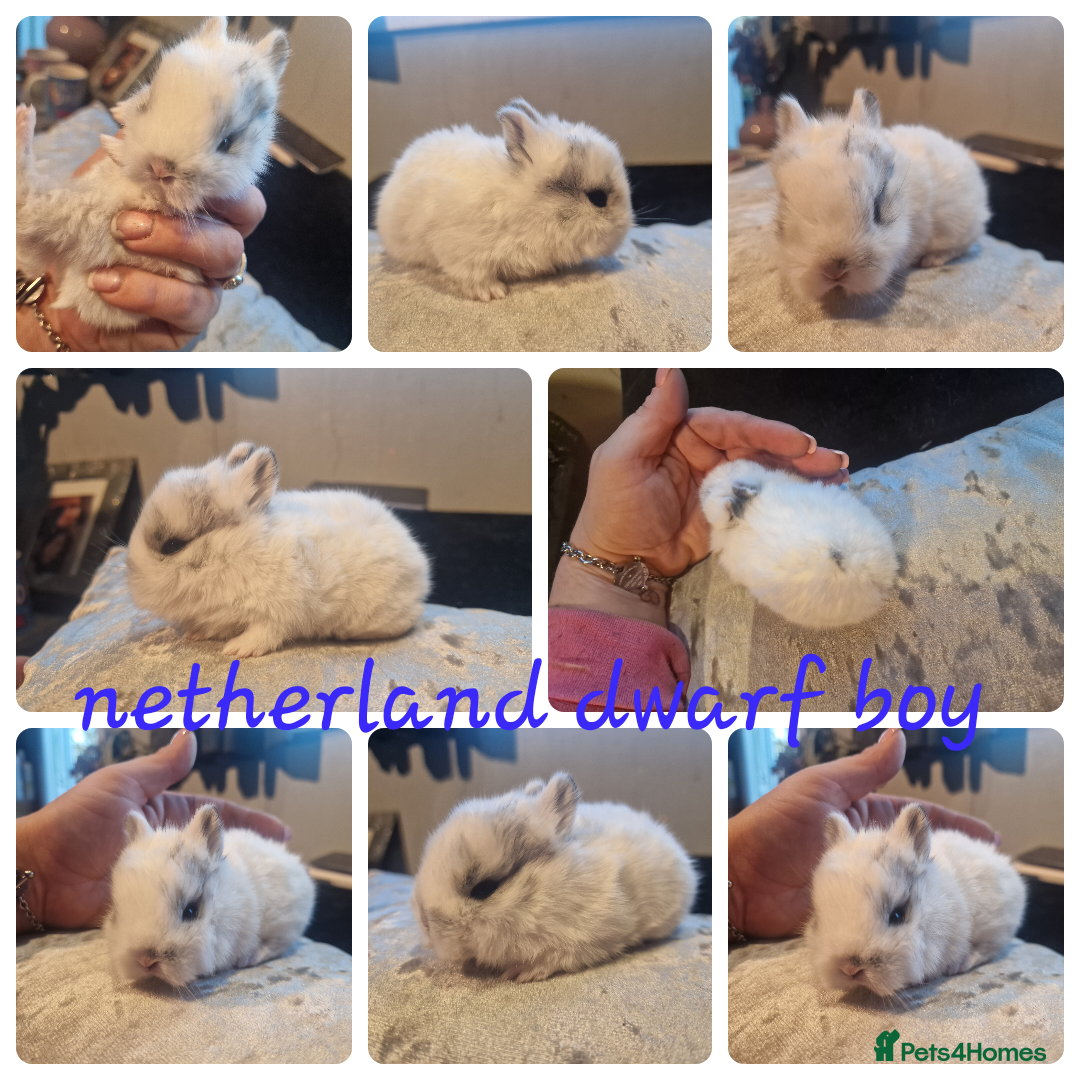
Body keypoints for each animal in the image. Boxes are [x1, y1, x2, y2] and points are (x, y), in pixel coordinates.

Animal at [16, 16, 289, 331]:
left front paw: (114, 148)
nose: (160, 168)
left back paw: (23, 118)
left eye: (226, 142)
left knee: (24, 201)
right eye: (148, 104)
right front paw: (118, 122)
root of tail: (71, 288)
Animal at [126, 441, 430, 658]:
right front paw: (195, 634)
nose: (131, 578)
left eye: (172, 545)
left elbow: (265, 633)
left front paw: (237, 650)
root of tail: (421, 565)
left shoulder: (279, 611)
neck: (236, 551)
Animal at [376, 98, 633, 301]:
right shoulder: (462, 251)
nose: (625, 227)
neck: (532, 207)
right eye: (598, 198)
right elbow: (474, 275)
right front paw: (493, 294)